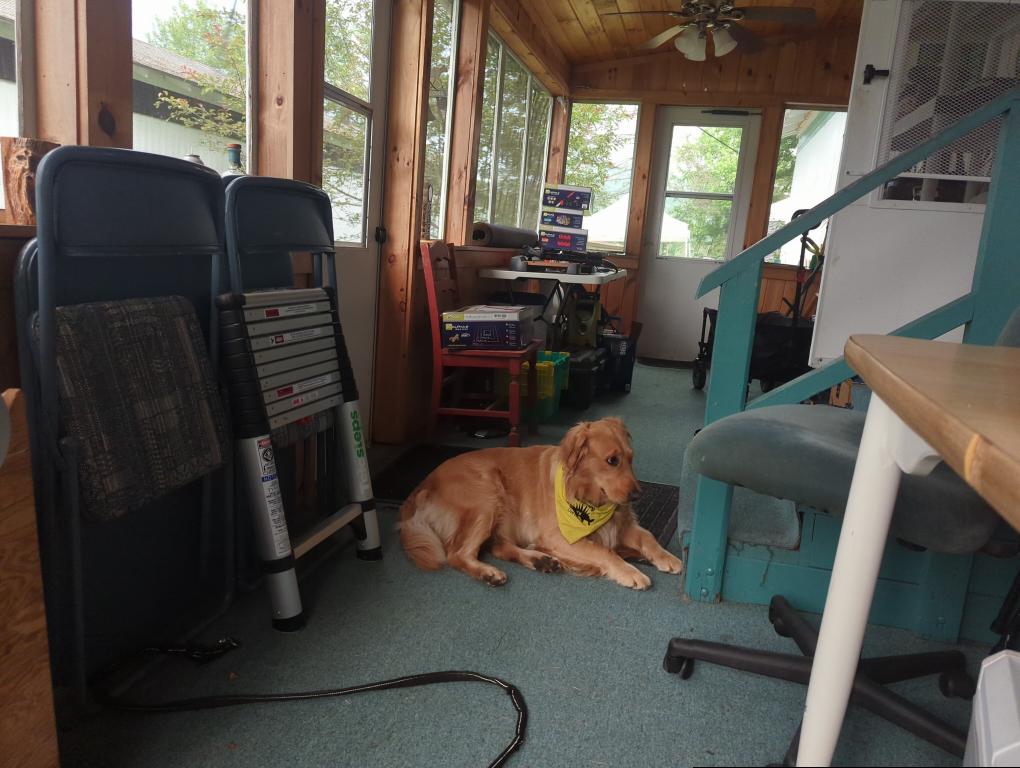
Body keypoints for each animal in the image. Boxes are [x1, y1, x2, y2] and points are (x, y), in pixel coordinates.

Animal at [401, 416, 681, 591]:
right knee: (457, 554)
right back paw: (489, 573)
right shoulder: (560, 537)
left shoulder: (622, 524)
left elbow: (648, 538)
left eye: (631, 459)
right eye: (612, 460)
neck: (588, 496)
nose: (637, 496)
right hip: (487, 496)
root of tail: (420, 486)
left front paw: (667, 557)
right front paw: (631, 572)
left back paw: (539, 560)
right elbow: (604, 551)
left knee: (498, 547)